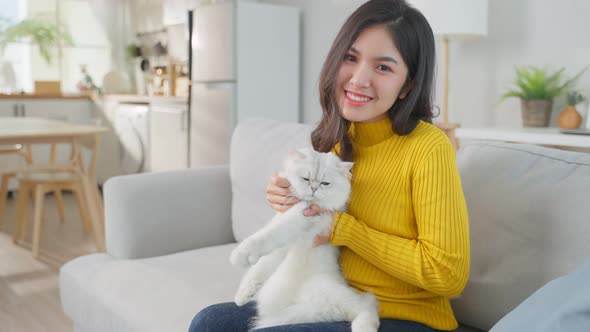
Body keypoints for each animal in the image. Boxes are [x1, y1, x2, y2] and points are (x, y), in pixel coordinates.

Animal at [229, 148, 382, 332]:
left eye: (325, 183)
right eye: (306, 179)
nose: (314, 188)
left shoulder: (299, 218)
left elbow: (267, 236)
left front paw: (240, 255)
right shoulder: (281, 246)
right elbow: (259, 267)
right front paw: (243, 294)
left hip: (334, 294)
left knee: (368, 304)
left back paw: (363, 327)